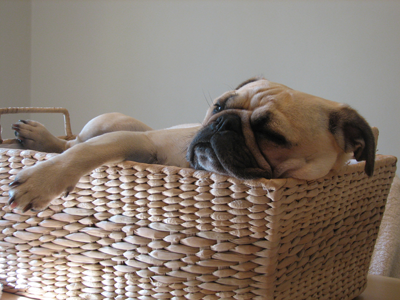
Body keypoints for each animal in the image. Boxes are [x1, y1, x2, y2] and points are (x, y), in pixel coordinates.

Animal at [5, 78, 376, 213]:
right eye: (219, 106)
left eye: (272, 135)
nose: (222, 122)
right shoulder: (137, 140)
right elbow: (85, 152)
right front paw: (42, 181)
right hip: (110, 123)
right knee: (74, 142)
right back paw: (39, 137)